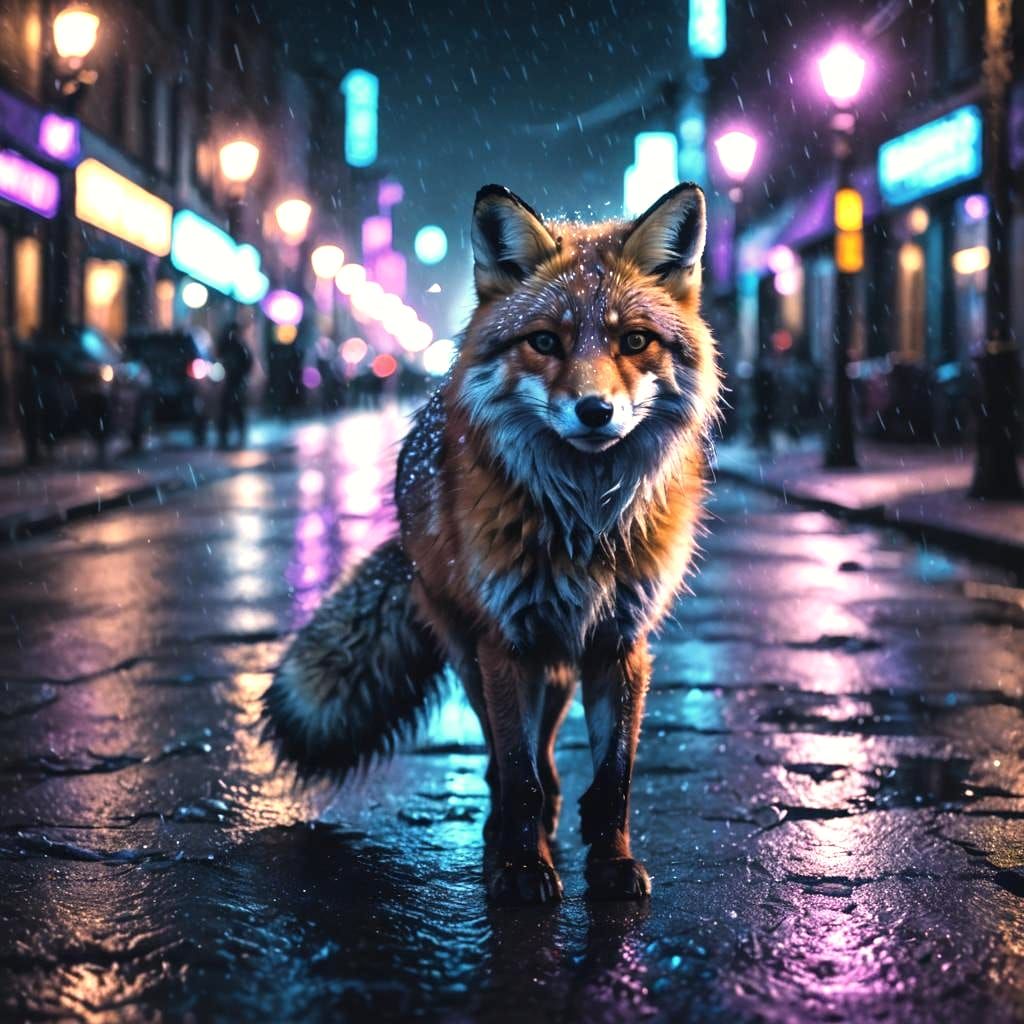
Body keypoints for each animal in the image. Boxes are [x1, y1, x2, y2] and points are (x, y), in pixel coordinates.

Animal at [262, 181, 721, 905]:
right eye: (545, 341)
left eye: (635, 340)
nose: (595, 411)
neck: (584, 524)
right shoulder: (506, 640)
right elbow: (518, 770)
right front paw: (523, 868)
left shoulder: (621, 641)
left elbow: (614, 777)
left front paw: (611, 861)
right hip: (472, 650)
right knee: (507, 759)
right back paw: (504, 824)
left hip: (555, 659)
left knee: (549, 745)